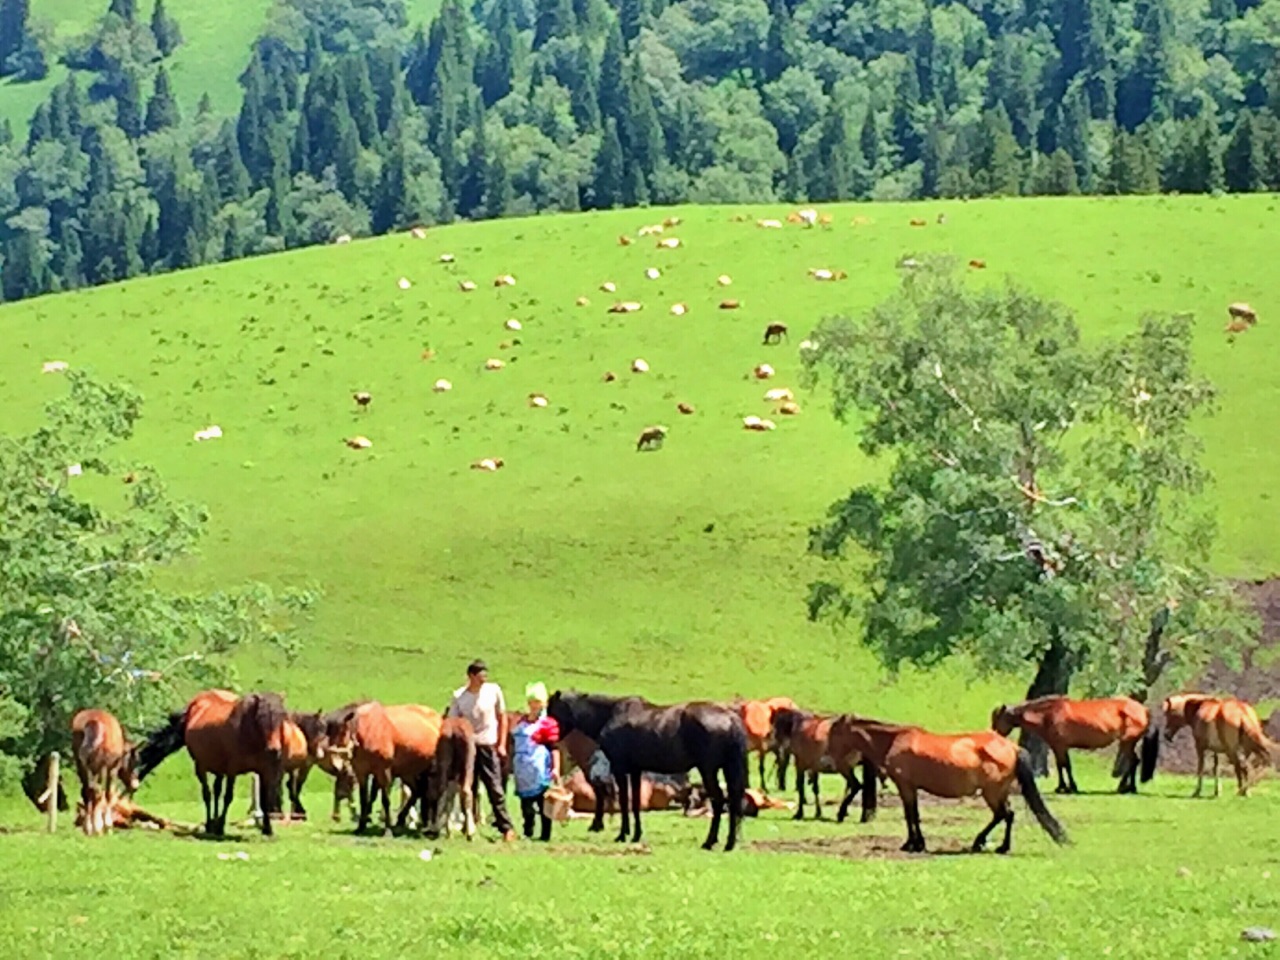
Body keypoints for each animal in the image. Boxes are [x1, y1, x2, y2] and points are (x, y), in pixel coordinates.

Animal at [69, 711, 139, 839]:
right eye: (134, 761)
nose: (135, 785)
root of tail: (93, 722)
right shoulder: (112, 768)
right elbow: (108, 794)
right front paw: (108, 826)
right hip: (99, 767)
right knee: (96, 792)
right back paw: (98, 828)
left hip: (82, 765)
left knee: (87, 791)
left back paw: (89, 828)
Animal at [138, 686, 291, 839]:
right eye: (260, 717)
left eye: (282, 716)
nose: (274, 749)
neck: (251, 735)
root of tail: (195, 703)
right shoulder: (232, 770)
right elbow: (228, 797)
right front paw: (221, 826)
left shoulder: (265, 771)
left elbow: (265, 799)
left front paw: (268, 829)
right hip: (200, 766)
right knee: (207, 794)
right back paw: (210, 824)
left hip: (219, 769)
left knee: (216, 791)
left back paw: (214, 822)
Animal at [542, 686, 747, 855]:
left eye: (551, 711)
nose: (548, 742)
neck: (610, 715)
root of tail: (730, 718)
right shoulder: (635, 770)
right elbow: (634, 802)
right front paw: (635, 835)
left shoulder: (620, 768)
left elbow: (624, 801)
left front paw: (622, 835)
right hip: (727, 769)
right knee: (733, 801)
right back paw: (729, 843)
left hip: (708, 770)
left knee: (719, 800)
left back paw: (709, 842)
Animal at [824, 716, 1064, 855]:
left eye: (834, 732)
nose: (828, 758)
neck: (894, 740)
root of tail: (1012, 747)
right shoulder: (911, 788)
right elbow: (914, 815)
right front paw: (917, 843)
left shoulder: (906, 786)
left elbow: (910, 815)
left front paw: (912, 844)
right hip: (998, 792)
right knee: (1006, 815)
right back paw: (997, 846)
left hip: (992, 793)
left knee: (1003, 815)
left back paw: (986, 844)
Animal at [988, 701, 1162, 798]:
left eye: (998, 718)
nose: (993, 734)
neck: (1049, 713)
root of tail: (1144, 710)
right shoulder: (1059, 746)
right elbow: (1063, 766)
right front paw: (1065, 786)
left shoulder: (1059, 746)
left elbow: (1064, 765)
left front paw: (1066, 787)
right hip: (1128, 743)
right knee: (1134, 761)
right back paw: (1128, 787)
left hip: (1127, 742)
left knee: (1133, 761)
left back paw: (1126, 787)